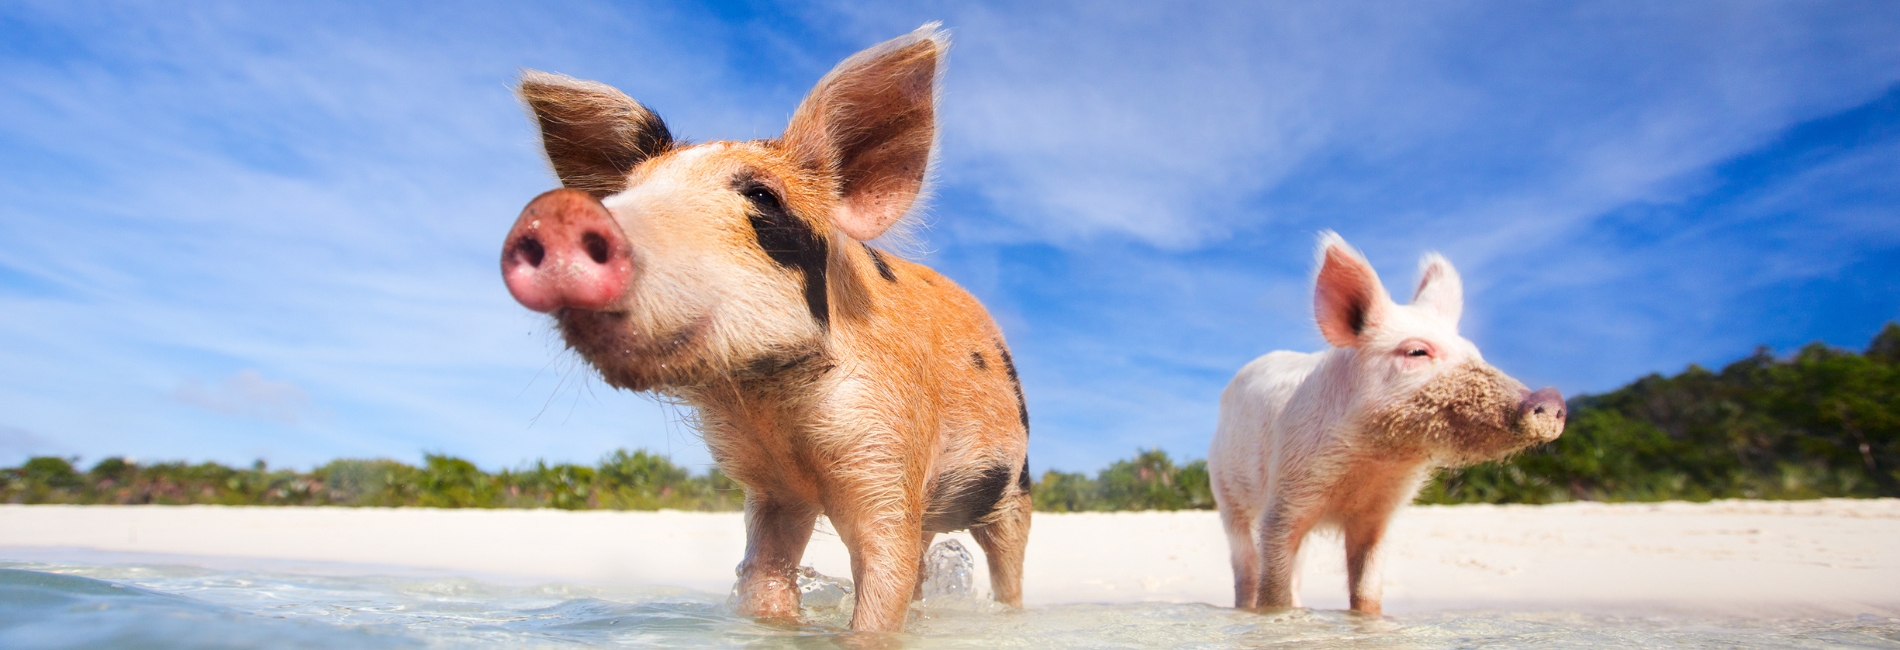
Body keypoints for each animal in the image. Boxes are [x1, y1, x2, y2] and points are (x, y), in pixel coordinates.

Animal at [498, 25, 1031, 633]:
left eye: (762, 197)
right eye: (622, 193)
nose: (559, 213)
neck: (775, 407)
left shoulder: (889, 451)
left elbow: (882, 583)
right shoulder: (773, 489)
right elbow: (765, 577)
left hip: (1015, 489)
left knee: (1006, 565)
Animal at [1208, 232, 1566, 615]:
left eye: (1476, 353)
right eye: (1417, 352)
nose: (1552, 399)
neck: (1373, 462)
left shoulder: (1379, 514)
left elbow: (1368, 590)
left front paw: (1365, 619)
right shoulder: (1286, 496)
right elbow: (1274, 590)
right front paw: (1275, 615)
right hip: (1225, 490)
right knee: (1246, 566)